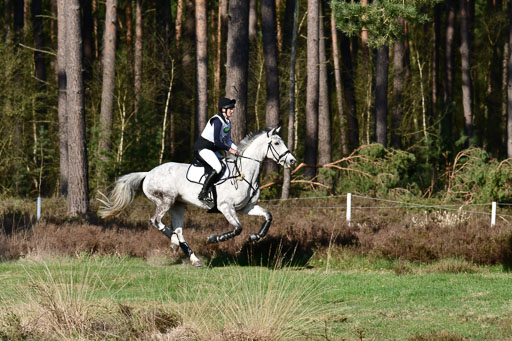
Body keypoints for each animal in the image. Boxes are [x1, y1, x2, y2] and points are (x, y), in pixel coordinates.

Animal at [98, 126, 296, 266]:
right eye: (276, 143)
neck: (244, 173)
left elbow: (268, 216)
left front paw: (255, 236)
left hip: (178, 206)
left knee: (178, 230)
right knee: (156, 221)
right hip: (165, 200)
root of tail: (148, 173)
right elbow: (237, 228)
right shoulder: (226, 207)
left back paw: (191, 256)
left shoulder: (247, 207)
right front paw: (213, 239)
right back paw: (174, 242)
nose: (292, 161)